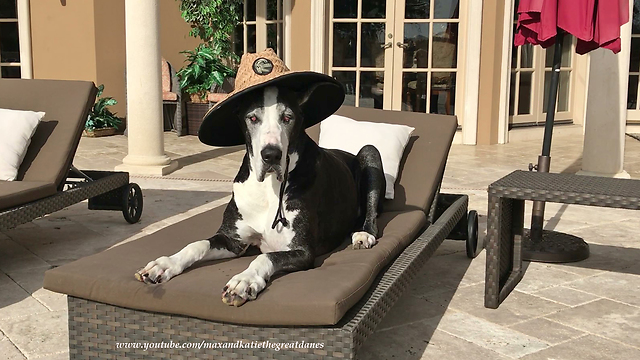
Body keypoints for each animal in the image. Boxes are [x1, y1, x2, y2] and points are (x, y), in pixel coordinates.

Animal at [135, 50, 384, 306]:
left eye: (288, 117)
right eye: (253, 118)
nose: (271, 154)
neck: (269, 187)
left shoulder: (302, 252)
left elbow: (264, 258)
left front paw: (244, 280)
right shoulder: (234, 241)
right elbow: (197, 244)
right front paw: (166, 264)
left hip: (370, 152)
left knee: (371, 211)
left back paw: (363, 234)